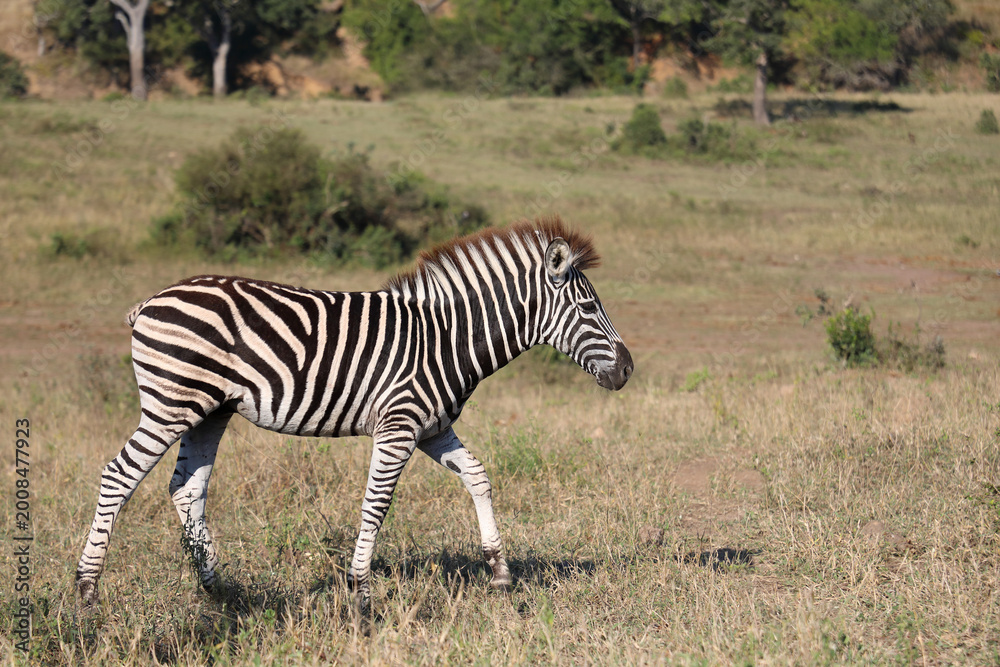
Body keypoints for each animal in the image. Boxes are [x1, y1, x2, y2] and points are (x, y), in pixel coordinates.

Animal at [75, 217, 633, 611]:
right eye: (589, 309)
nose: (627, 369)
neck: (446, 338)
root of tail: (151, 301)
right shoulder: (399, 426)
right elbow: (376, 505)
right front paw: (361, 593)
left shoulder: (433, 428)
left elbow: (478, 477)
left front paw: (498, 572)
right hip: (172, 403)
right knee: (118, 475)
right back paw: (87, 592)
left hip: (210, 410)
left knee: (187, 489)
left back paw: (220, 592)